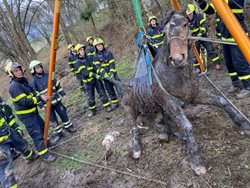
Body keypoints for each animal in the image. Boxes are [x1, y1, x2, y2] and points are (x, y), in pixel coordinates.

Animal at [123, 10, 250, 175]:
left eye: (185, 24)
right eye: (165, 32)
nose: (177, 58)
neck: (176, 74)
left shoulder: (195, 95)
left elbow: (222, 101)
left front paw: (244, 125)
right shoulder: (170, 103)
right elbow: (187, 126)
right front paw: (197, 161)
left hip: (155, 109)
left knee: (157, 120)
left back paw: (163, 133)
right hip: (130, 109)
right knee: (133, 128)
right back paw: (137, 149)